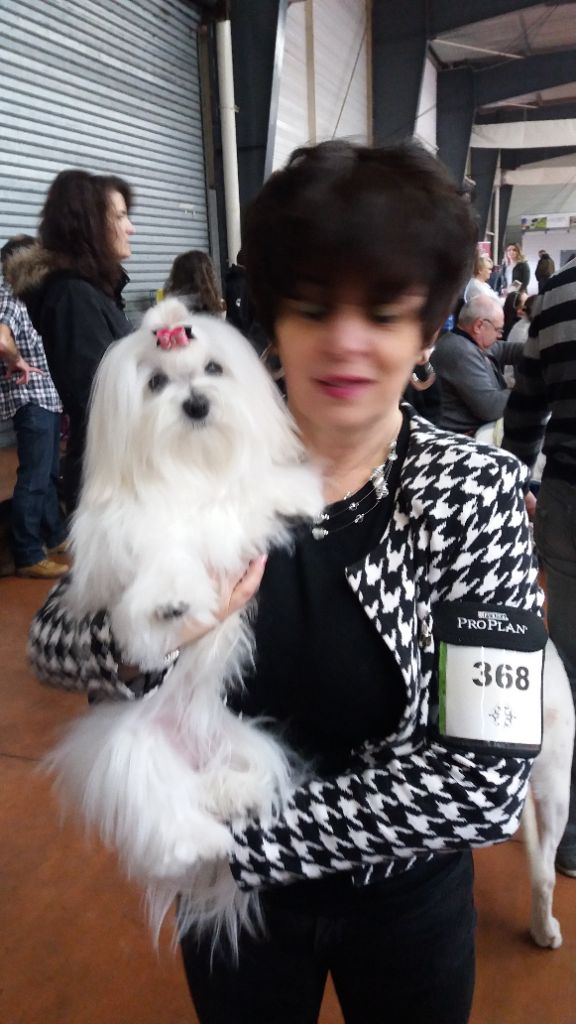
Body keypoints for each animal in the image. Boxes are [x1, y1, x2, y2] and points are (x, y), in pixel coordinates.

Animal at [44, 298, 324, 950]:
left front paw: (300, 495)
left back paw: (227, 793)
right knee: (167, 816)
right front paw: (170, 605)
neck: (191, 469)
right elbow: (166, 557)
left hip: (242, 739)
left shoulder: (232, 508)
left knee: (245, 776)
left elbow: (253, 493)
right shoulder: (135, 536)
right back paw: (198, 840)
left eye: (213, 369)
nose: (196, 403)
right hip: (132, 752)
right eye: (155, 383)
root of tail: (187, 738)